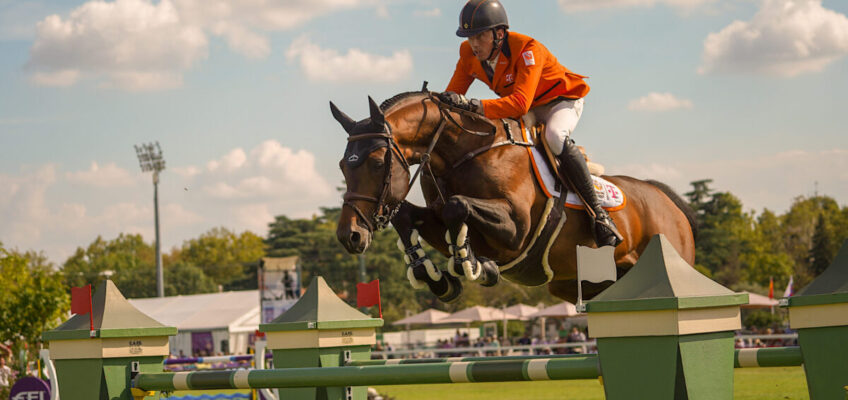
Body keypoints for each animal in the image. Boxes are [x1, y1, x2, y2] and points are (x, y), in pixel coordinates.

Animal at [332, 90, 696, 304]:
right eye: (342, 165)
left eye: (376, 163)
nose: (350, 236)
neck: (462, 152)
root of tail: (667, 200)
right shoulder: (436, 216)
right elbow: (409, 216)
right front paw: (433, 276)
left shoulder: (517, 231)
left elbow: (458, 206)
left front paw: (471, 264)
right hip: (575, 283)